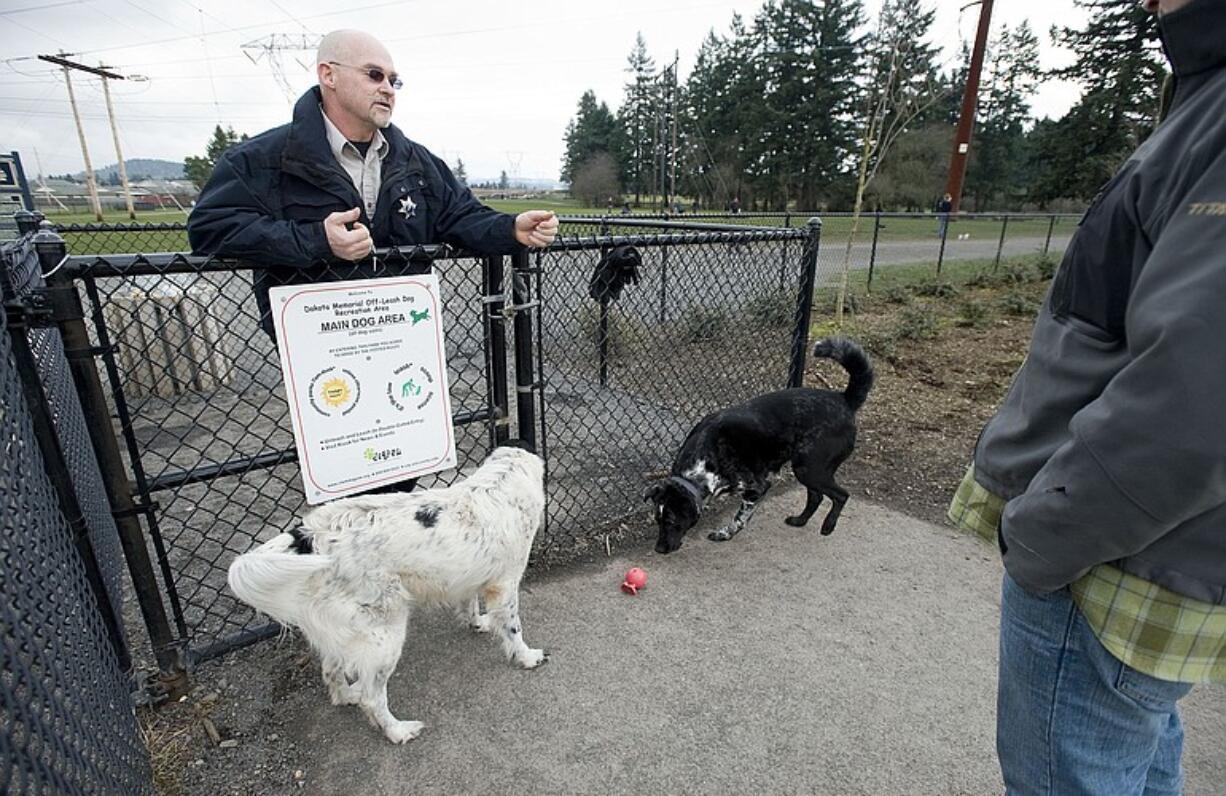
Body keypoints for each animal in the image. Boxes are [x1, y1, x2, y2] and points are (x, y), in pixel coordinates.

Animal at [652, 336, 872, 551]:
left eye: (672, 521)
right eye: (657, 520)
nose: (659, 549)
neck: (703, 460)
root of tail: (844, 399)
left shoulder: (757, 487)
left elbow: (740, 518)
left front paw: (726, 533)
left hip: (810, 469)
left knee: (841, 495)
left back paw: (828, 525)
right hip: (809, 470)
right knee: (816, 497)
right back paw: (799, 520)